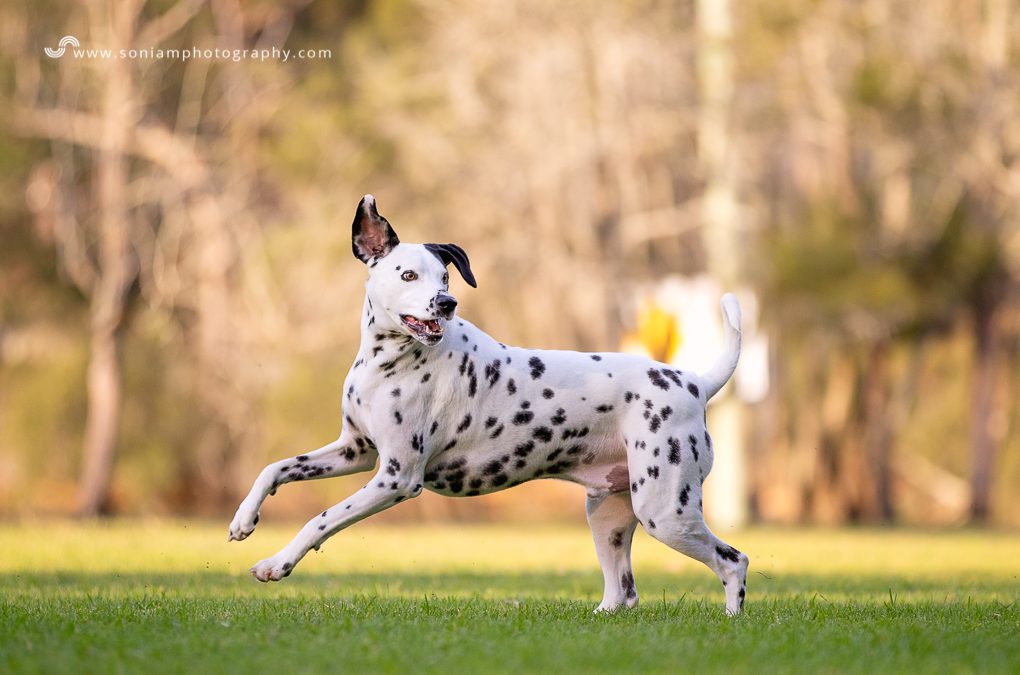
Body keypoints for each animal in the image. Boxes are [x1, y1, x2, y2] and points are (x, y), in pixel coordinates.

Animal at [227, 196, 750, 619]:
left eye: (444, 275)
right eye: (408, 274)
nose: (447, 302)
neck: (389, 362)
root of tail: (694, 383)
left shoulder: (395, 478)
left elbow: (320, 519)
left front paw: (277, 563)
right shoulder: (353, 452)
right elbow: (274, 469)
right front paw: (244, 521)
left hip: (666, 512)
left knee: (732, 561)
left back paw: (730, 619)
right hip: (609, 515)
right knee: (624, 592)